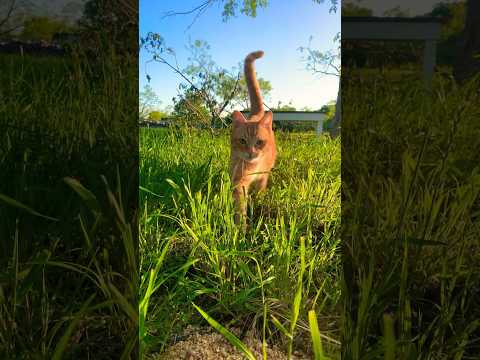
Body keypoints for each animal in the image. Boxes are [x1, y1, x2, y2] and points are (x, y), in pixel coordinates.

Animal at [231, 50, 276, 228]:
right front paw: (240, 228)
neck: (253, 168)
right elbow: (239, 205)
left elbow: (259, 192)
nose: (251, 152)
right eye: (242, 141)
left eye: (259, 142)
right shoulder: (239, 182)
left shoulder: (263, 176)